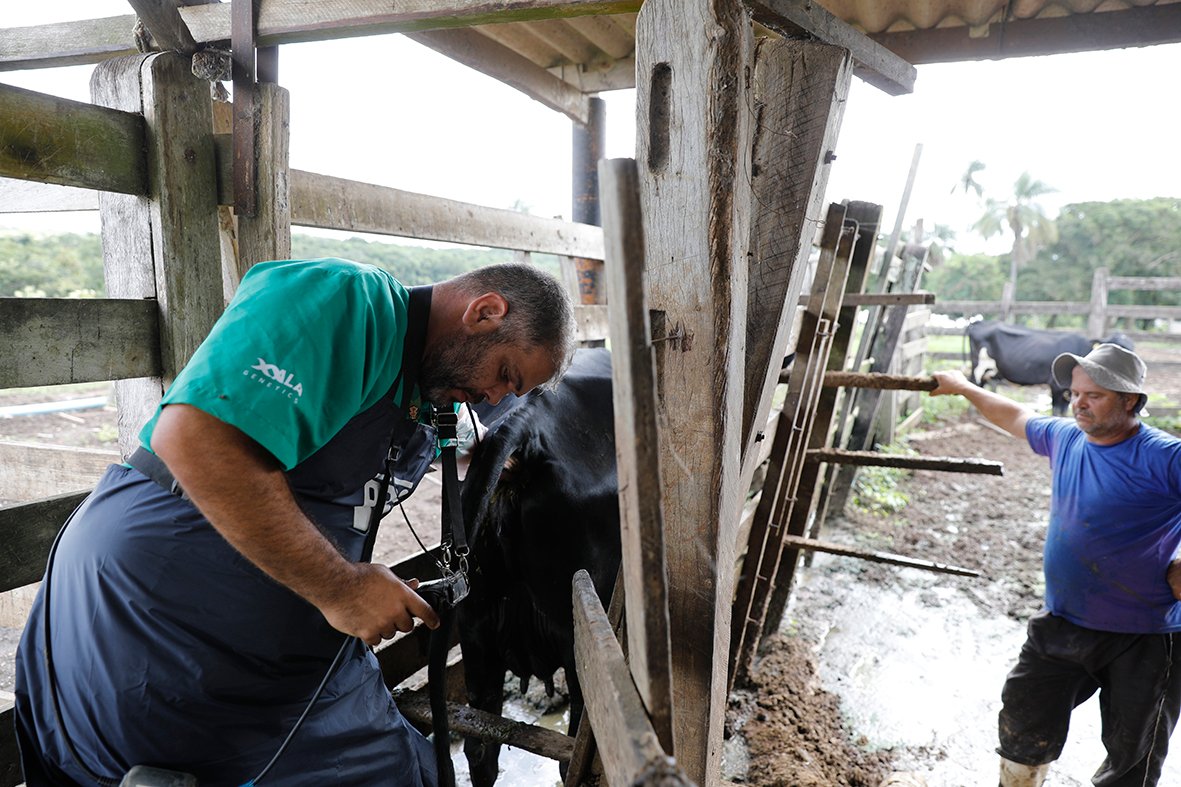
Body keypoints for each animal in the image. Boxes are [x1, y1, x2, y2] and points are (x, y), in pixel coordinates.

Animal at [968, 319, 1133, 415]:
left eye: (1131, 349)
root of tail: (979, 323)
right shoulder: (1056, 386)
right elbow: (1056, 411)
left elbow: (1064, 412)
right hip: (979, 366)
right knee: (974, 383)